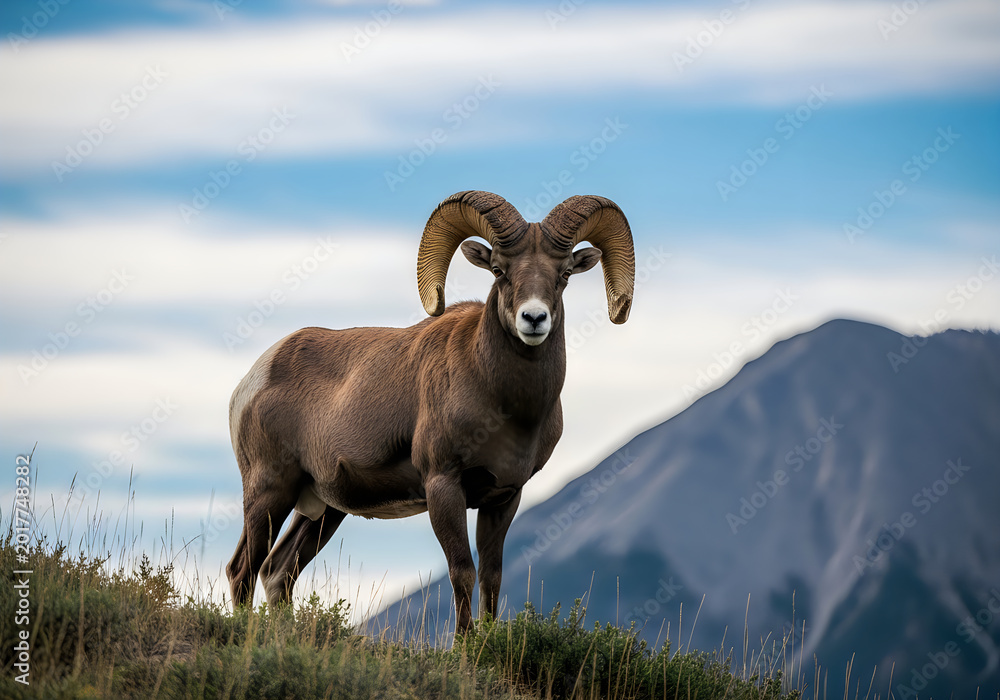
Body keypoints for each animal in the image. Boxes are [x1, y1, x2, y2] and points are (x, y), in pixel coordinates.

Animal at [226, 190, 635, 633]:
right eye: (498, 270)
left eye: (564, 274)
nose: (534, 318)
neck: (507, 409)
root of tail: (255, 377)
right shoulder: (443, 485)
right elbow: (462, 572)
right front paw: (463, 644)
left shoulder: (504, 497)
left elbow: (492, 575)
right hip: (269, 490)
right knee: (243, 569)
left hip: (322, 509)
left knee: (278, 572)